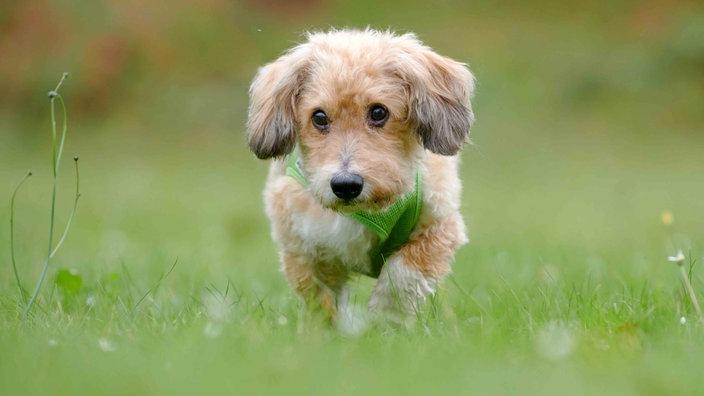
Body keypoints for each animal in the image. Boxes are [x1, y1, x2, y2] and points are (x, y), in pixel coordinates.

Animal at [246, 28, 472, 318]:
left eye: (378, 112)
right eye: (319, 117)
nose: (345, 185)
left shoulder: (438, 228)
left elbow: (401, 276)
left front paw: (383, 320)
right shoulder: (301, 248)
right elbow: (322, 302)